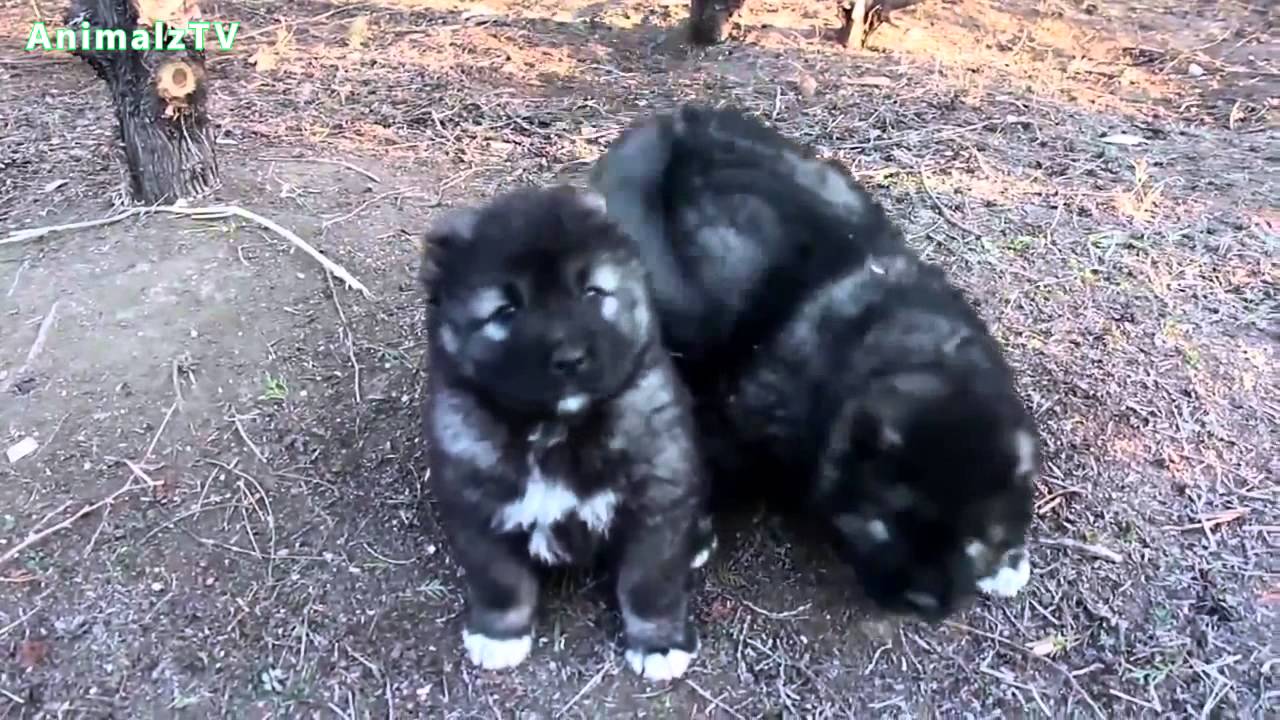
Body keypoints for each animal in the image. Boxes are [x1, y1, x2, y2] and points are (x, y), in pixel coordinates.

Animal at [424, 183, 716, 676]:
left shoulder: (658, 498)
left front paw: (659, 643)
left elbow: (650, 582)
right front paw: (499, 633)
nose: (570, 358)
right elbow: (500, 579)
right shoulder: (477, 505)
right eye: (506, 310)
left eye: (592, 292)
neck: (555, 429)